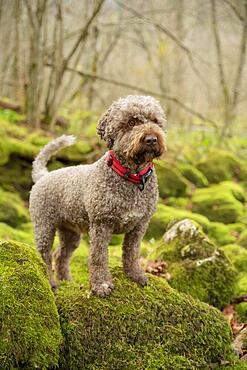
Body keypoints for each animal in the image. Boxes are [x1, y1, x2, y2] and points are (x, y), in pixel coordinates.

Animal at [29, 94, 167, 294]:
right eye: (132, 122)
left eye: (156, 121)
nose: (151, 139)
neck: (132, 178)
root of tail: (43, 175)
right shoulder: (101, 225)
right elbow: (99, 256)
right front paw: (101, 284)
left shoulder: (140, 226)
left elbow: (132, 252)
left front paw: (135, 275)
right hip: (44, 228)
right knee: (45, 256)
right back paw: (51, 283)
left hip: (71, 233)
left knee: (60, 254)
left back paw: (67, 281)